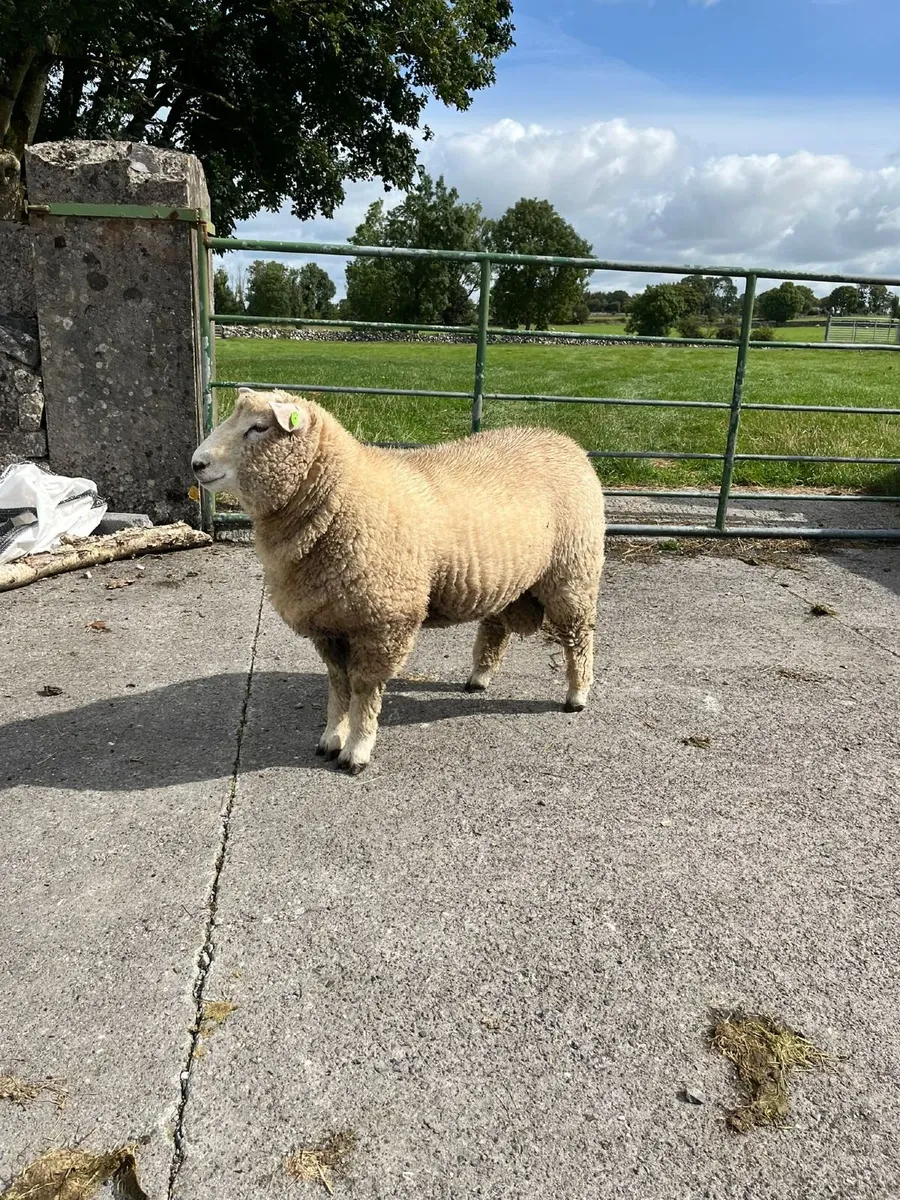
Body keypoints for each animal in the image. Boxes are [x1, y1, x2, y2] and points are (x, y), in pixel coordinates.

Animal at [192, 387, 606, 774]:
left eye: (259, 428)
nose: (197, 464)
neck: (339, 496)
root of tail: (563, 440)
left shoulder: (384, 622)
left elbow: (363, 689)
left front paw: (357, 750)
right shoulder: (329, 625)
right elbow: (338, 684)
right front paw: (331, 738)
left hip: (573, 572)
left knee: (578, 637)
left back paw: (577, 695)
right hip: (508, 576)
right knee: (495, 625)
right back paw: (479, 677)